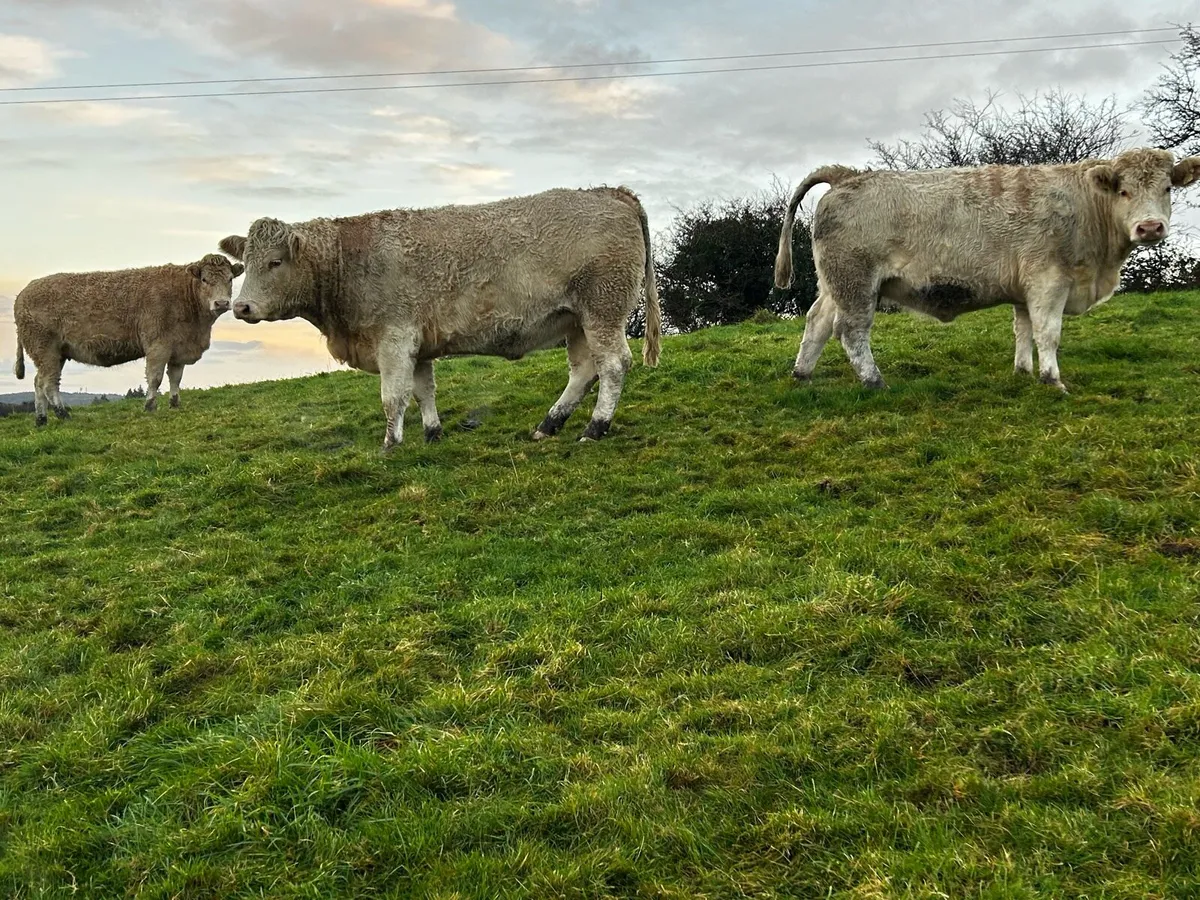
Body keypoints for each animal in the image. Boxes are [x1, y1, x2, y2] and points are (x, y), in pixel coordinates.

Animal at [13, 254, 243, 424]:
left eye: (230, 279)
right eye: (205, 280)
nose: (222, 303)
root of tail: (23, 292)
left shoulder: (178, 349)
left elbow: (175, 378)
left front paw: (175, 404)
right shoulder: (158, 345)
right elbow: (155, 377)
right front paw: (150, 406)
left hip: (55, 353)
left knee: (38, 382)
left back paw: (41, 419)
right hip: (45, 349)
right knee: (48, 383)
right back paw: (63, 414)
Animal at [217, 186, 662, 451]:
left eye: (275, 262)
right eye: (246, 263)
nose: (241, 308)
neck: (350, 259)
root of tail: (612, 192)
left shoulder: (393, 338)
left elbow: (392, 396)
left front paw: (390, 444)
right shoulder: (418, 344)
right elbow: (422, 391)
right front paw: (432, 433)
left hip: (602, 309)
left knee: (613, 365)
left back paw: (595, 428)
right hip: (576, 320)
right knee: (585, 371)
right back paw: (549, 424)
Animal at [774, 148, 1200, 392]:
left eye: (1166, 188)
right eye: (1123, 191)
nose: (1150, 227)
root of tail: (847, 174)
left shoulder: (1025, 289)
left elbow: (1023, 330)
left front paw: (1023, 372)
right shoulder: (1048, 280)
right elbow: (1048, 333)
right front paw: (1053, 380)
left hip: (836, 284)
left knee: (817, 322)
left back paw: (802, 375)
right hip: (856, 282)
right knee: (851, 331)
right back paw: (874, 381)